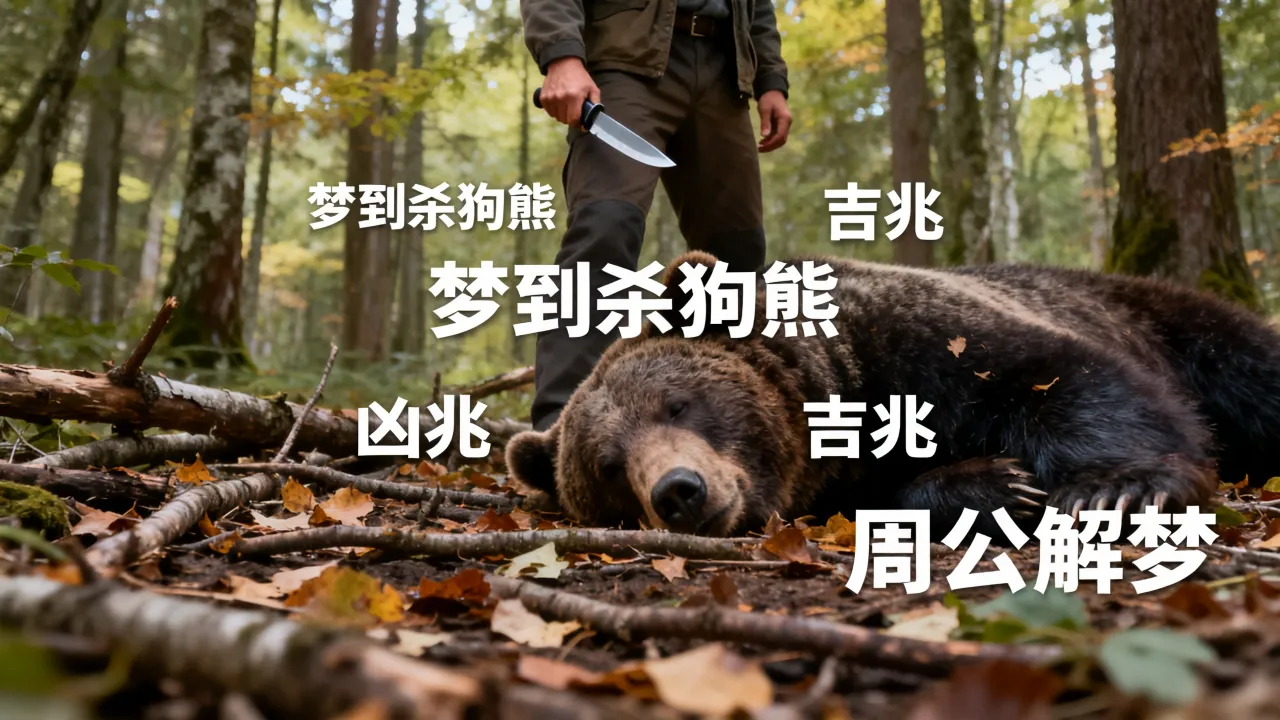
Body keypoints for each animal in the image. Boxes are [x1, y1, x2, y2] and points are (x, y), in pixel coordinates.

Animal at [505, 250, 1280, 539]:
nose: (678, 490)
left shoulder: (923, 342)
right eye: (608, 466)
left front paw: (1113, 489)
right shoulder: (843, 477)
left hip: (1172, 320)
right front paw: (994, 484)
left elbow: (1062, 376)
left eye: (678, 404)